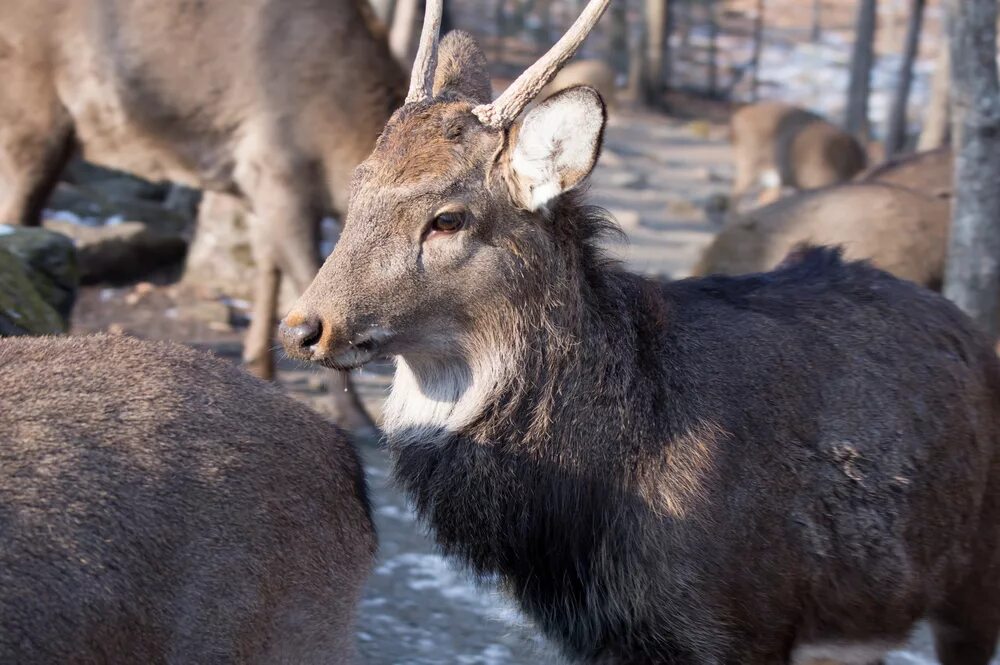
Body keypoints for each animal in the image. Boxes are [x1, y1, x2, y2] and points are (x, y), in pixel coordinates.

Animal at [0, 0, 408, 428]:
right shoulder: (278, 173)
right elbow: (305, 278)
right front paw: (355, 416)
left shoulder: (258, 188)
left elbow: (268, 267)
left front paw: (260, 365)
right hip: (29, 115)